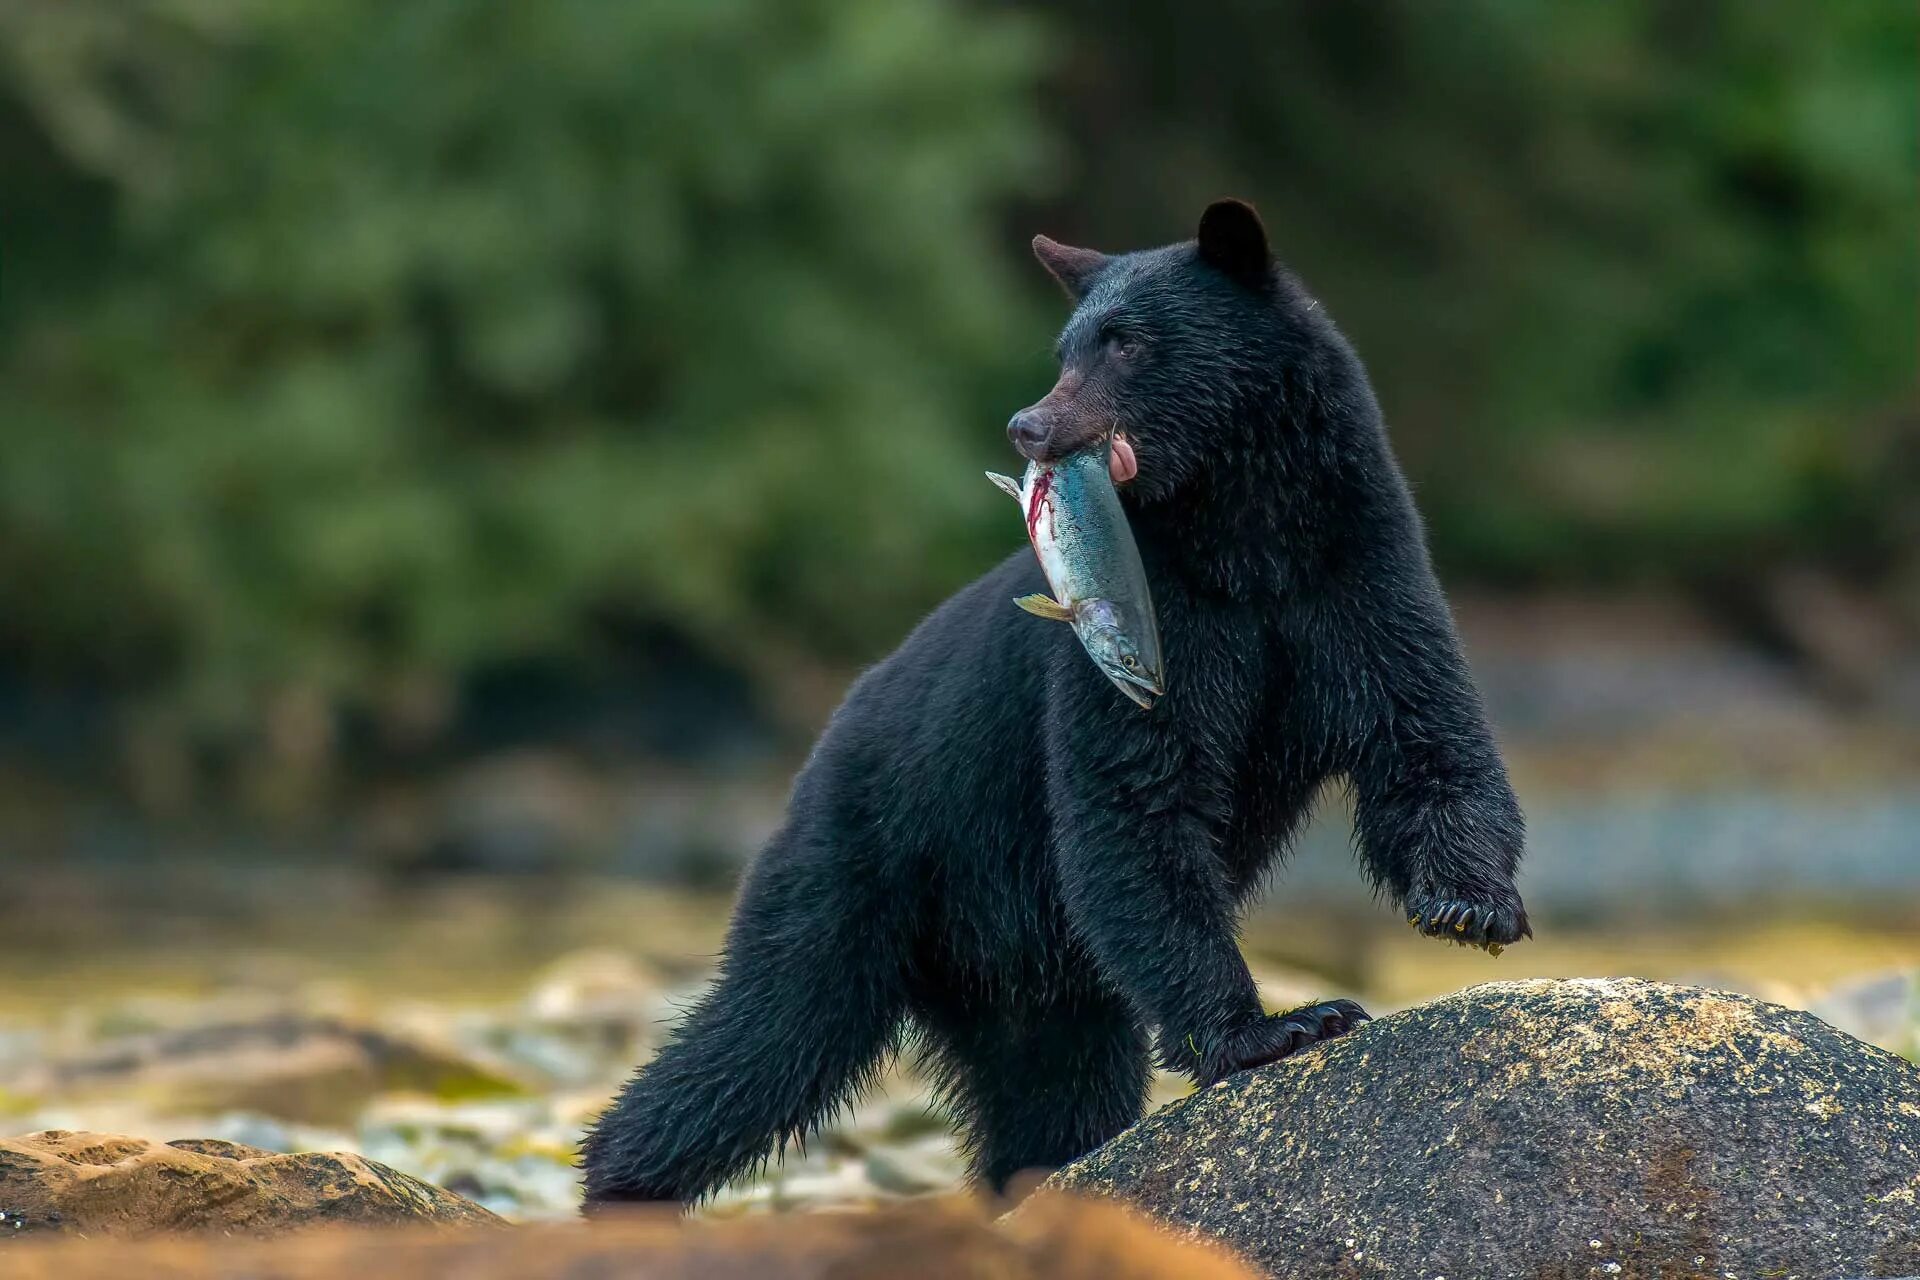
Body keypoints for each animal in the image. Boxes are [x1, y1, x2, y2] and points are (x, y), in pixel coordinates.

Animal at [583, 200, 1528, 1212]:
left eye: (1126, 341)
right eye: (1067, 346)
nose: (1029, 426)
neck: (1246, 540)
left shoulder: (1356, 578)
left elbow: (1424, 734)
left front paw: (1469, 906)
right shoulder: (1146, 633)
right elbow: (1135, 801)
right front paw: (1277, 1026)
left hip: (1033, 979)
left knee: (1054, 1094)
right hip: (863, 863)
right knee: (771, 1027)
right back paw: (620, 1185)